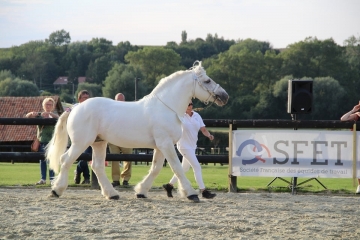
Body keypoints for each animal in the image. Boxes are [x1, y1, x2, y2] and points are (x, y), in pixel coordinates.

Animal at [46, 61, 229, 202]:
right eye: (207, 81)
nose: (224, 96)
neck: (166, 107)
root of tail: (74, 108)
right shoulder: (166, 144)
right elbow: (176, 167)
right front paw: (191, 194)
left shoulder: (160, 146)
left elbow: (155, 168)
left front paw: (141, 191)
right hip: (81, 142)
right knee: (66, 160)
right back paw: (56, 190)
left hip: (99, 142)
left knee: (97, 166)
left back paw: (112, 194)